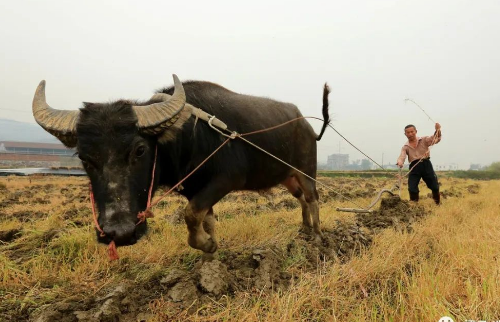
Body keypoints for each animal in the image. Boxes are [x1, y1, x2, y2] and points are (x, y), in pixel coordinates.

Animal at [30, 75, 328, 256]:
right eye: (84, 157)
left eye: (140, 150)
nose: (119, 233)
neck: (187, 137)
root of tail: (307, 126)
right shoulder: (193, 188)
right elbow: (205, 218)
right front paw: (211, 246)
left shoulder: (227, 179)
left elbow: (191, 214)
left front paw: (205, 244)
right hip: (288, 178)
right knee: (301, 200)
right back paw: (303, 229)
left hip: (306, 171)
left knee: (313, 199)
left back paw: (316, 233)